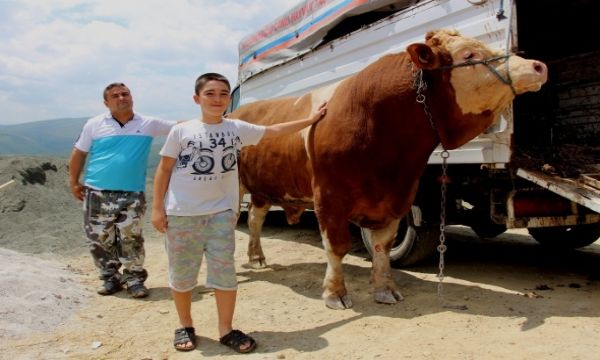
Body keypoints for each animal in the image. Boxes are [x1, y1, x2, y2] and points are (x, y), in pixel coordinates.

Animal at [231, 29, 548, 310]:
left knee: (255, 220)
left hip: (262, 189)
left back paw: (256, 257)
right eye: (469, 54)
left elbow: (383, 246)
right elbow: (337, 246)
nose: (538, 65)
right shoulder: (329, 199)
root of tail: (236, 112)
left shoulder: (398, 197)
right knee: (239, 220)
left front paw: (385, 290)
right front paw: (335, 293)